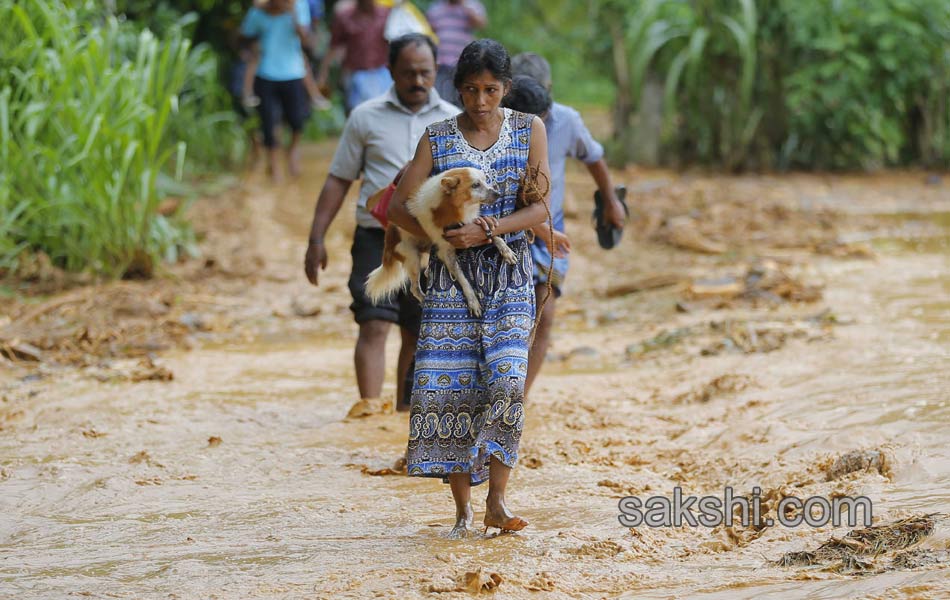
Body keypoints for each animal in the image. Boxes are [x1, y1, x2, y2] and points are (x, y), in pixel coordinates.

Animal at [364, 166, 516, 316]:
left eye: (485, 180)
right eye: (475, 185)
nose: (497, 194)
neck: (450, 205)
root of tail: (388, 241)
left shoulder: (470, 229)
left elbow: (495, 236)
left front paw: (507, 251)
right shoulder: (446, 251)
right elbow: (463, 279)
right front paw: (473, 301)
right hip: (412, 258)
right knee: (414, 288)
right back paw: (423, 300)